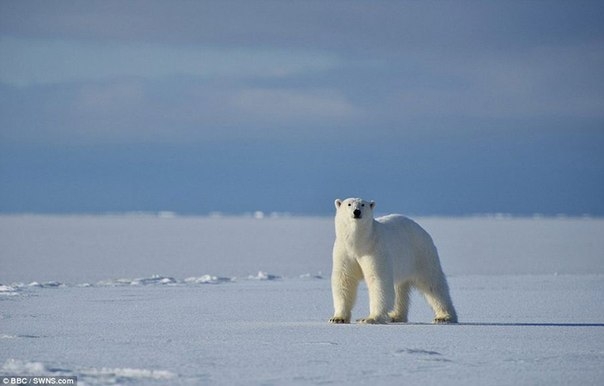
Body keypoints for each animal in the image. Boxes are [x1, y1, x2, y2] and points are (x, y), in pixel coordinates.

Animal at [330, 198, 458, 324]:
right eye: (349, 204)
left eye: (363, 204)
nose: (356, 212)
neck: (358, 244)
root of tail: (421, 229)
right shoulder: (344, 252)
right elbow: (344, 280)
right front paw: (337, 318)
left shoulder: (375, 250)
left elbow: (378, 280)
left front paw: (370, 318)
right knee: (400, 288)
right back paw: (396, 316)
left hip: (421, 254)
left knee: (433, 284)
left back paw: (444, 317)